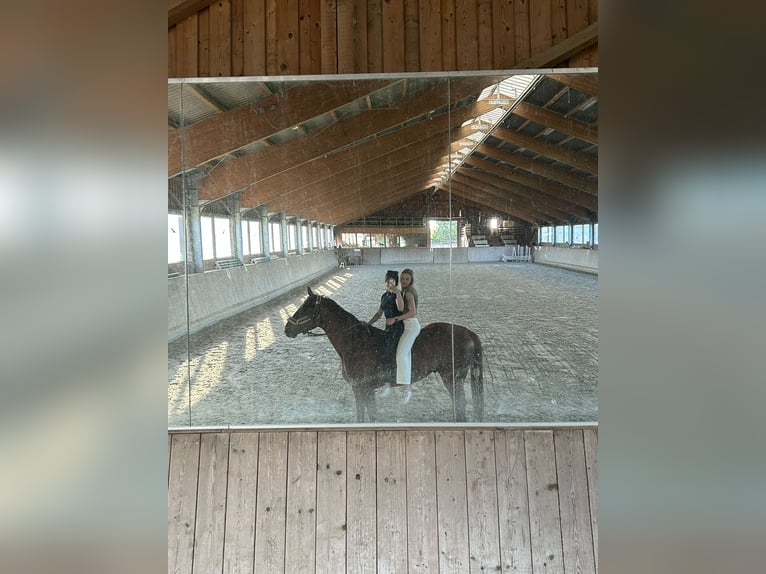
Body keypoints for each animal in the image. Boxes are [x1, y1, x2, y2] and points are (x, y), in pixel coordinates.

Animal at [284, 288, 484, 424]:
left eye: (306, 308)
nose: (287, 329)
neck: (354, 342)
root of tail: (467, 332)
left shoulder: (362, 388)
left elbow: (368, 417)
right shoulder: (362, 389)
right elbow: (366, 415)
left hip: (452, 378)